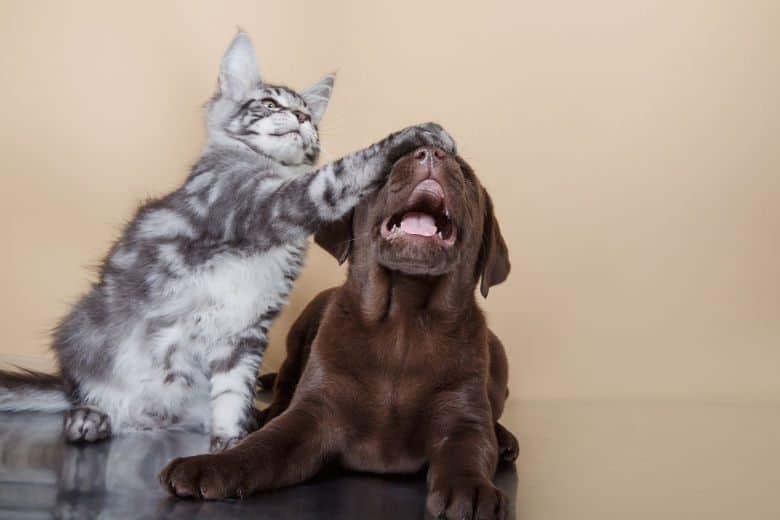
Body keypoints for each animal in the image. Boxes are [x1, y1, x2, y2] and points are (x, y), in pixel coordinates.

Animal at [0, 31, 458, 450]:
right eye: (269, 104)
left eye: (308, 114)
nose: (301, 120)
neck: (266, 166)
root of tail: (151, 416)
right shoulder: (266, 203)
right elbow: (342, 173)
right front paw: (415, 135)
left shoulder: (246, 330)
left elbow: (233, 392)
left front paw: (231, 444)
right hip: (81, 329)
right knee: (84, 394)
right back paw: (89, 419)